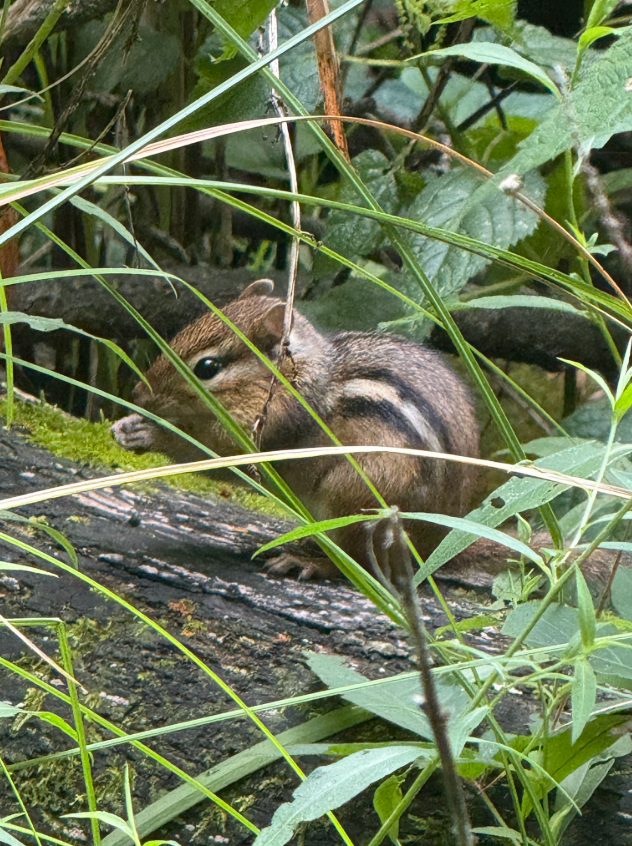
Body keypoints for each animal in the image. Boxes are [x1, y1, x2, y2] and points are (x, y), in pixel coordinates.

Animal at [111, 279, 481, 580]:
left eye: (207, 367)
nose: (138, 393)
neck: (294, 378)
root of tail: (435, 548)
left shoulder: (269, 432)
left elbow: (217, 458)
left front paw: (151, 434)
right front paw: (127, 425)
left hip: (354, 495)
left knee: (361, 565)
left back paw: (308, 562)